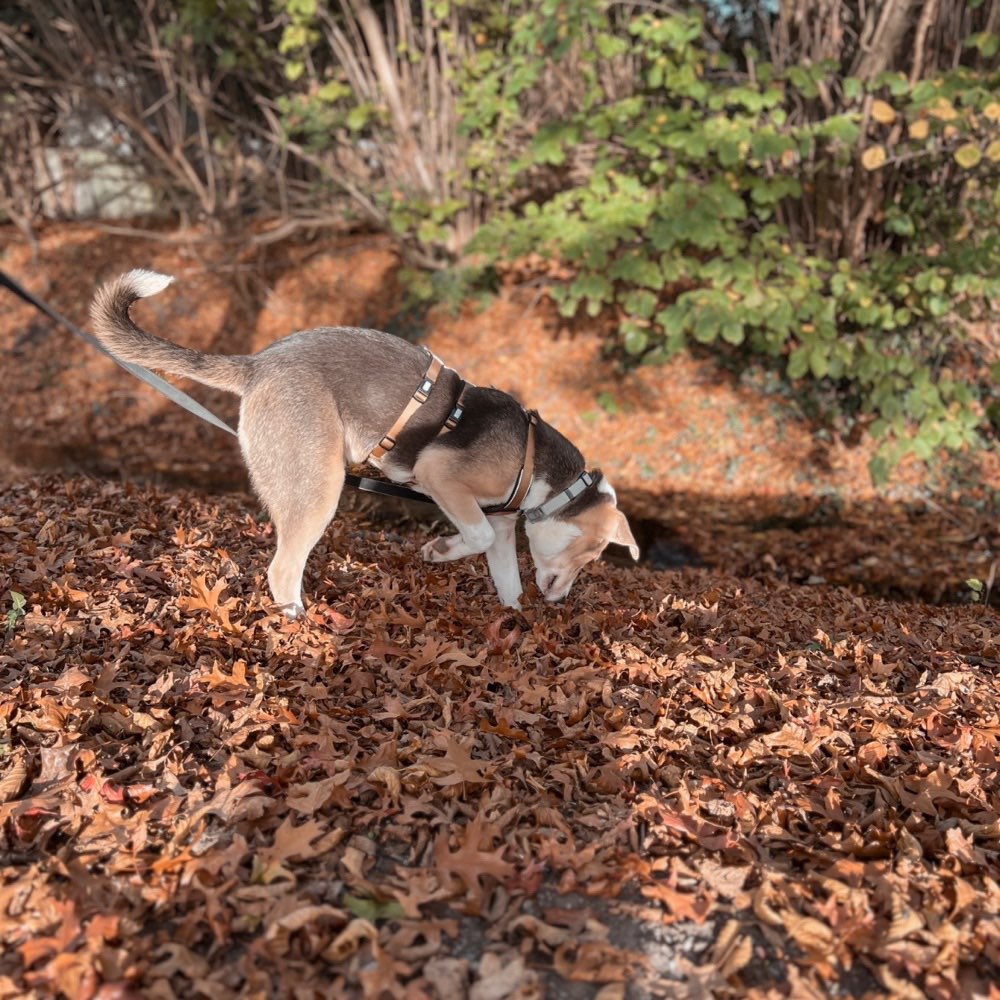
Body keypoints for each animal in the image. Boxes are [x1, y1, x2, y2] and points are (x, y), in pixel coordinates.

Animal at [94, 270, 640, 612]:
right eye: (591, 554)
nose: (560, 602)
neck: (539, 468)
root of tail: (257, 366)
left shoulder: (504, 529)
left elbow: (506, 579)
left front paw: (514, 619)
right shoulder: (441, 477)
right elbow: (476, 535)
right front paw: (440, 549)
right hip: (321, 488)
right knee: (282, 569)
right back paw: (298, 624)